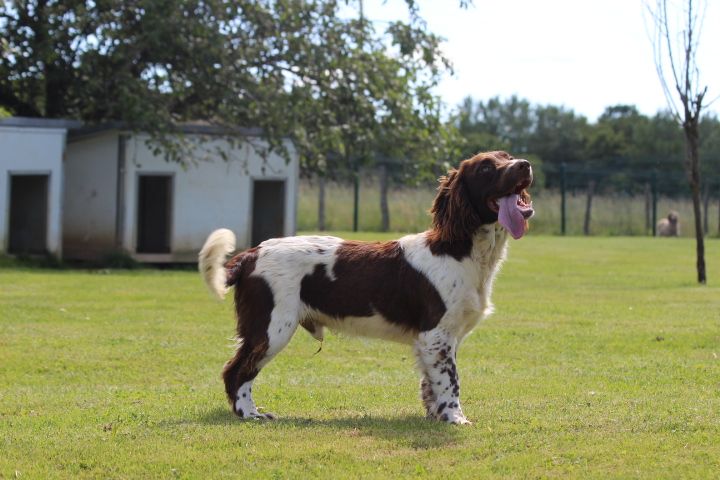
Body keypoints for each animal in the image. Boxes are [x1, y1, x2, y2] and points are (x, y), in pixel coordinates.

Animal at [200, 151, 532, 424]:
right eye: (486, 167)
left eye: (508, 156)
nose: (525, 165)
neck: (460, 250)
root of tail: (251, 254)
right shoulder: (436, 334)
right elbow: (450, 381)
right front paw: (455, 418)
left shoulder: (443, 339)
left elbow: (430, 383)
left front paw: (434, 415)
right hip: (271, 328)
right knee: (236, 371)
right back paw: (250, 413)